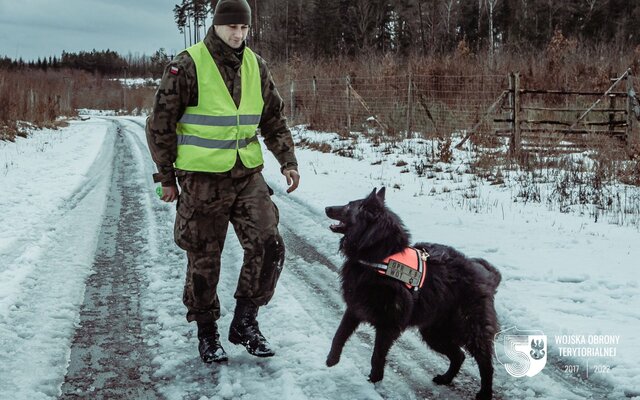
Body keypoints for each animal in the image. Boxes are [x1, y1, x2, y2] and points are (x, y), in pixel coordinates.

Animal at [324, 188, 500, 400]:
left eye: (349, 205)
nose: (327, 208)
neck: (379, 256)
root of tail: (486, 277)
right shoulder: (355, 309)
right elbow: (338, 335)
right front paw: (332, 359)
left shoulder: (388, 325)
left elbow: (377, 356)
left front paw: (374, 380)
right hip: (434, 333)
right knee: (459, 355)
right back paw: (446, 378)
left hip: (468, 328)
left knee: (485, 363)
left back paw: (485, 392)